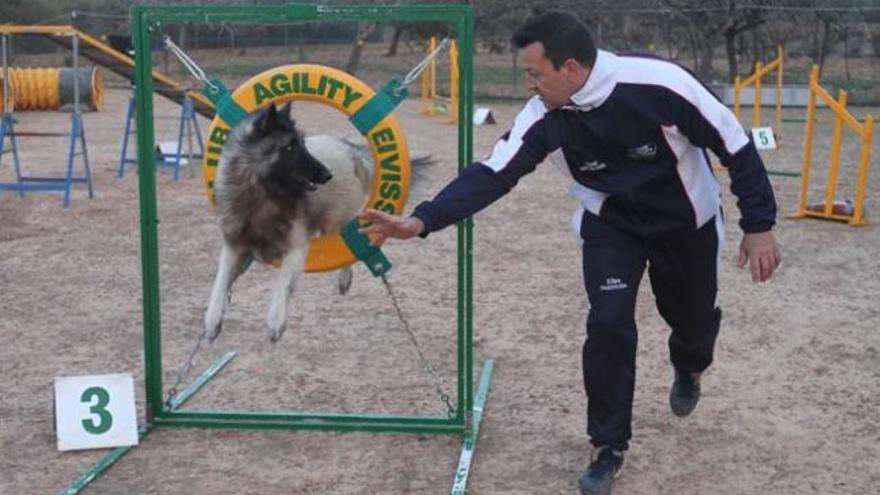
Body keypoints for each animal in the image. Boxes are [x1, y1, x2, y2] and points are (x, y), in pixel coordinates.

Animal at [205, 102, 374, 342]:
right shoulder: (233, 246)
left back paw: (344, 278)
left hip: (334, 222)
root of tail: (349, 149)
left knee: (349, 247)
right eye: (290, 148)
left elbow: (282, 283)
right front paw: (212, 321)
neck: (261, 194)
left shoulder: (296, 247)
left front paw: (275, 322)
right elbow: (219, 282)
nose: (327, 174)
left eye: (302, 144)